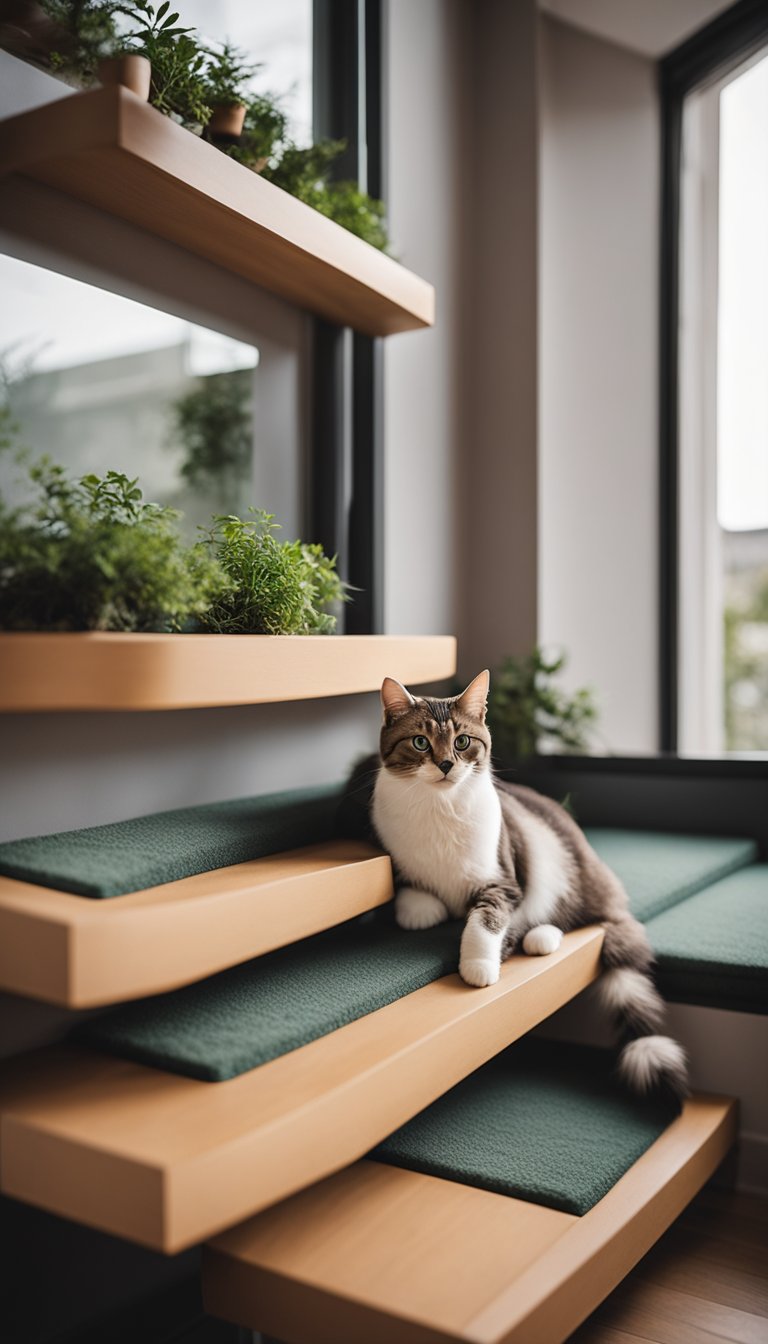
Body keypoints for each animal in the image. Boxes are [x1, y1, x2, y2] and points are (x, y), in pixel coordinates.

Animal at [368, 666, 688, 1096]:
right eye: (420, 742)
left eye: (462, 741)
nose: (447, 764)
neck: (440, 807)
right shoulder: (396, 854)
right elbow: (412, 895)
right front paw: (424, 909)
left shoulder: (505, 878)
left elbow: (485, 919)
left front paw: (478, 964)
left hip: (557, 867)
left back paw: (540, 936)